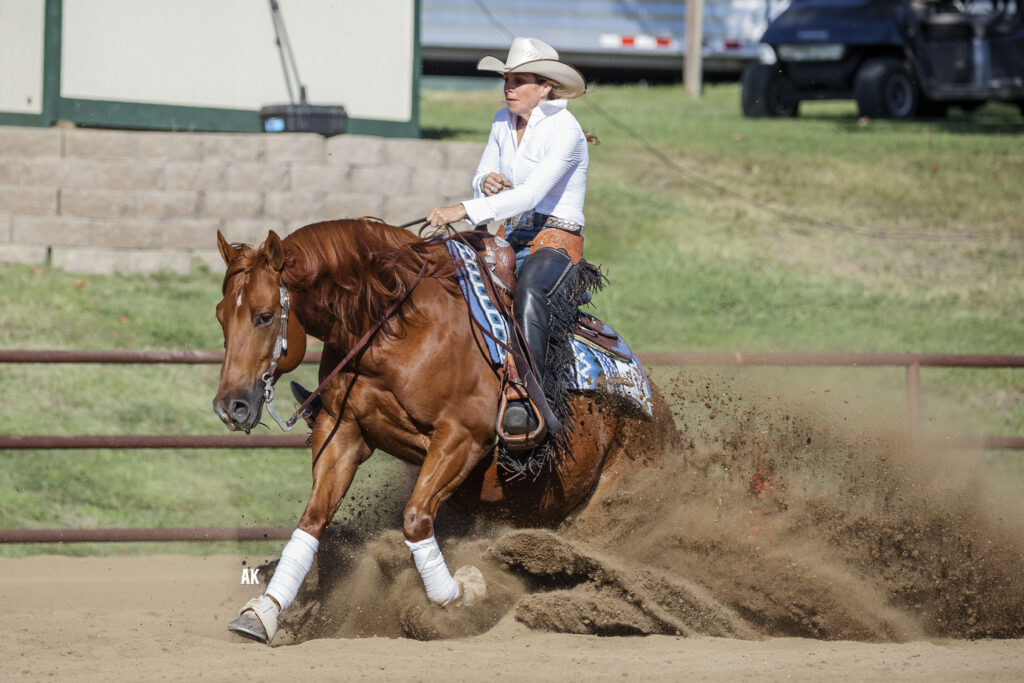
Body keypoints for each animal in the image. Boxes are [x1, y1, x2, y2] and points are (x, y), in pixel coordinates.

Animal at [211, 220, 675, 647]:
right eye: (221, 316)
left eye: (264, 316)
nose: (230, 406)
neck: (397, 329)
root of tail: (658, 411)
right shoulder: (342, 433)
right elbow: (312, 521)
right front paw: (262, 614)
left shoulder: (461, 439)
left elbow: (416, 519)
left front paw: (461, 594)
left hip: (611, 503)